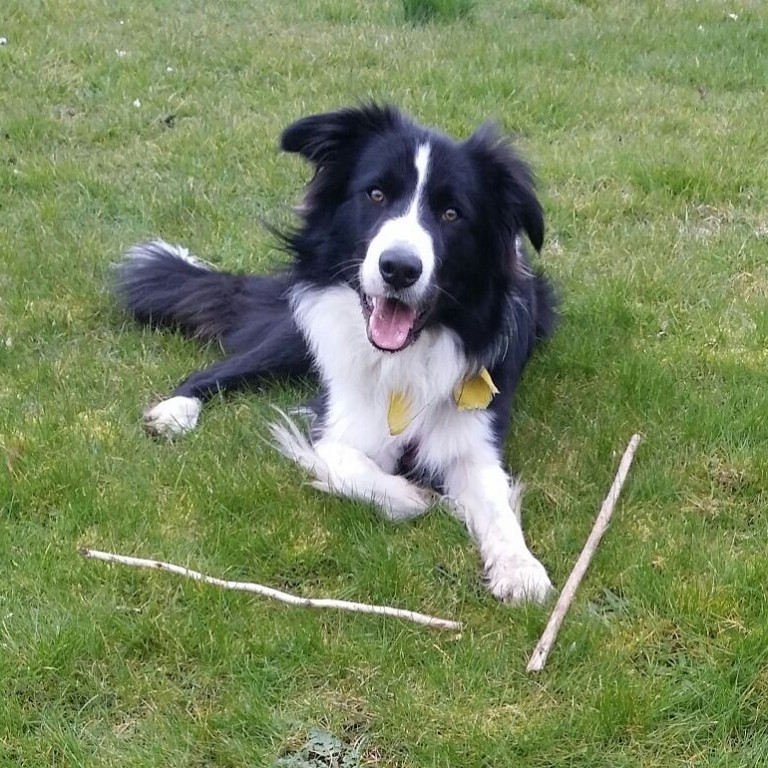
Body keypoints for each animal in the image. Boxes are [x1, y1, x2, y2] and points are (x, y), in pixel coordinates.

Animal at [117, 105, 556, 604]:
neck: (405, 355)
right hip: (292, 336)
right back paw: (175, 410)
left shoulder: (476, 434)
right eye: (376, 194)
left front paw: (520, 568)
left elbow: (494, 500)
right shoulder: (337, 425)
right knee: (221, 368)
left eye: (451, 213)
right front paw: (416, 496)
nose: (399, 269)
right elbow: (357, 468)